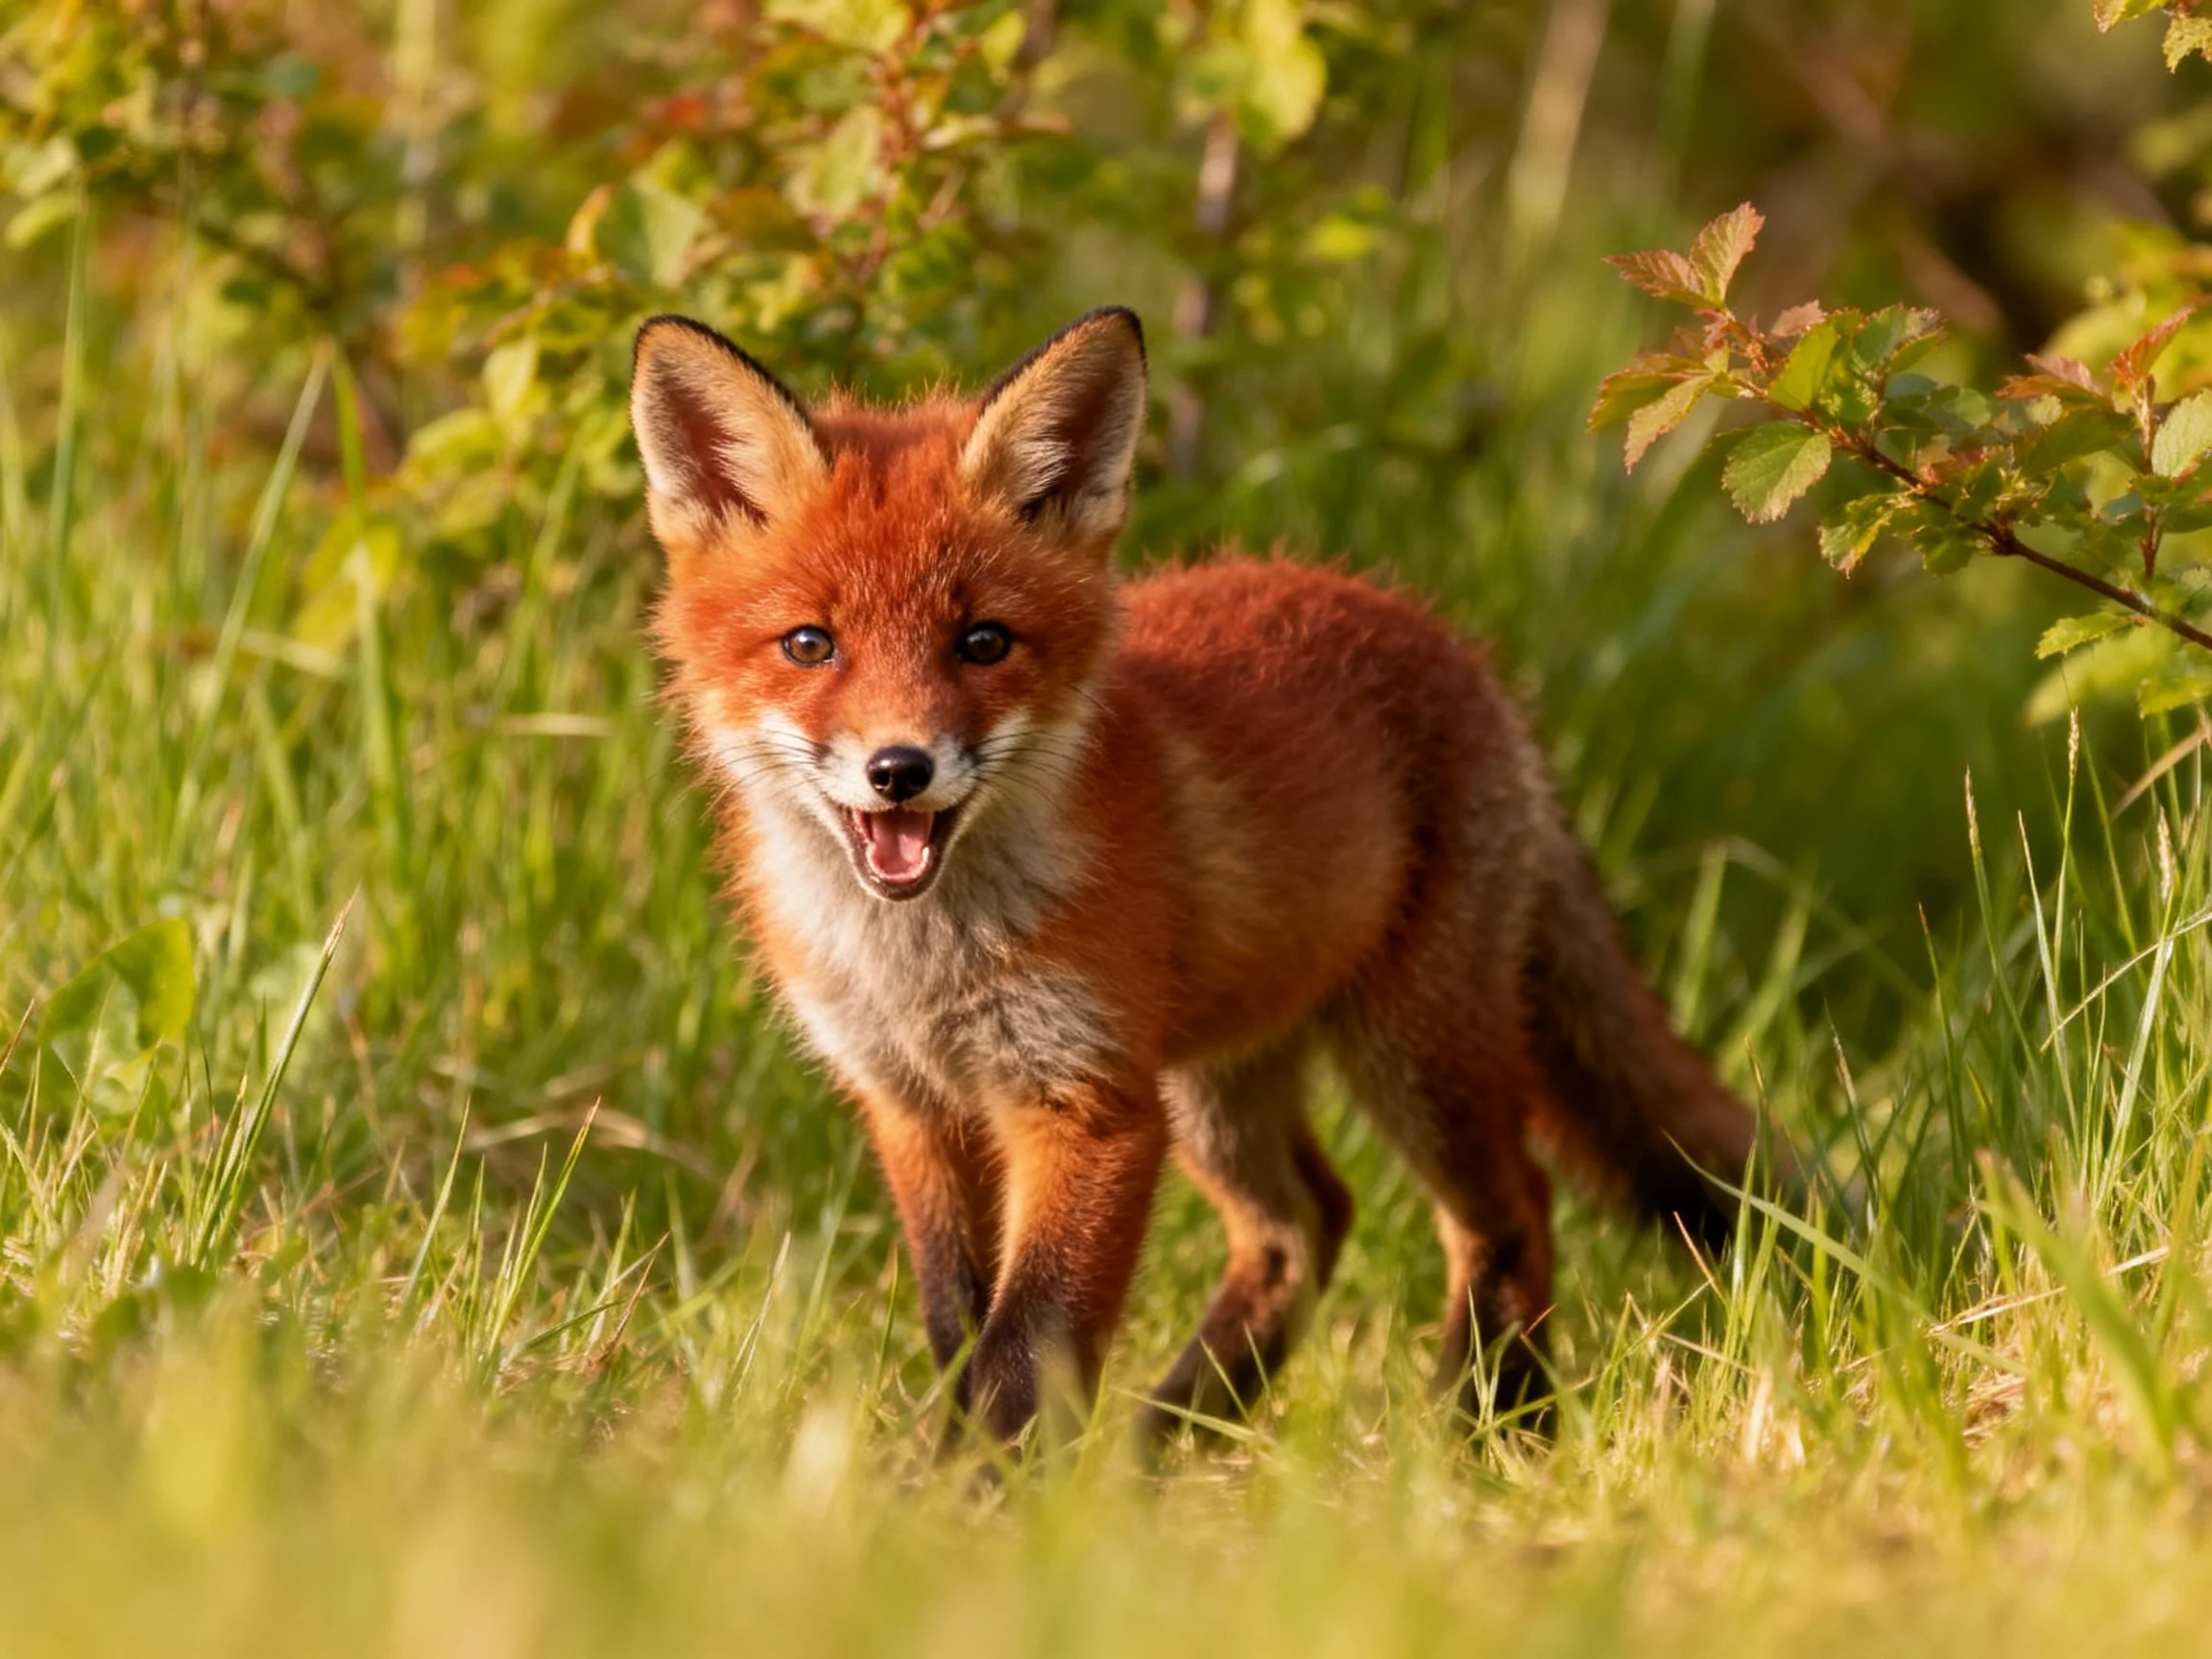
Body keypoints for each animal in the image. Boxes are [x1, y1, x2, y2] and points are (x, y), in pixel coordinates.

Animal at [628, 305, 1778, 1444]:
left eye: (983, 642)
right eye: (809, 645)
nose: (899, 769)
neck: (926, 963)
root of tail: (1452, 644)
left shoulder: (1091, 1106)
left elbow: (1024, 1343)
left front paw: (975, 1483)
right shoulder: (911, 1105)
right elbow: (958, 1324)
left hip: (1410, 1050)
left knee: (1514, 1209)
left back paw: (1490, 1431)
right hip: (1219, 1080)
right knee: (1304, 1227)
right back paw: (1162, 1445)